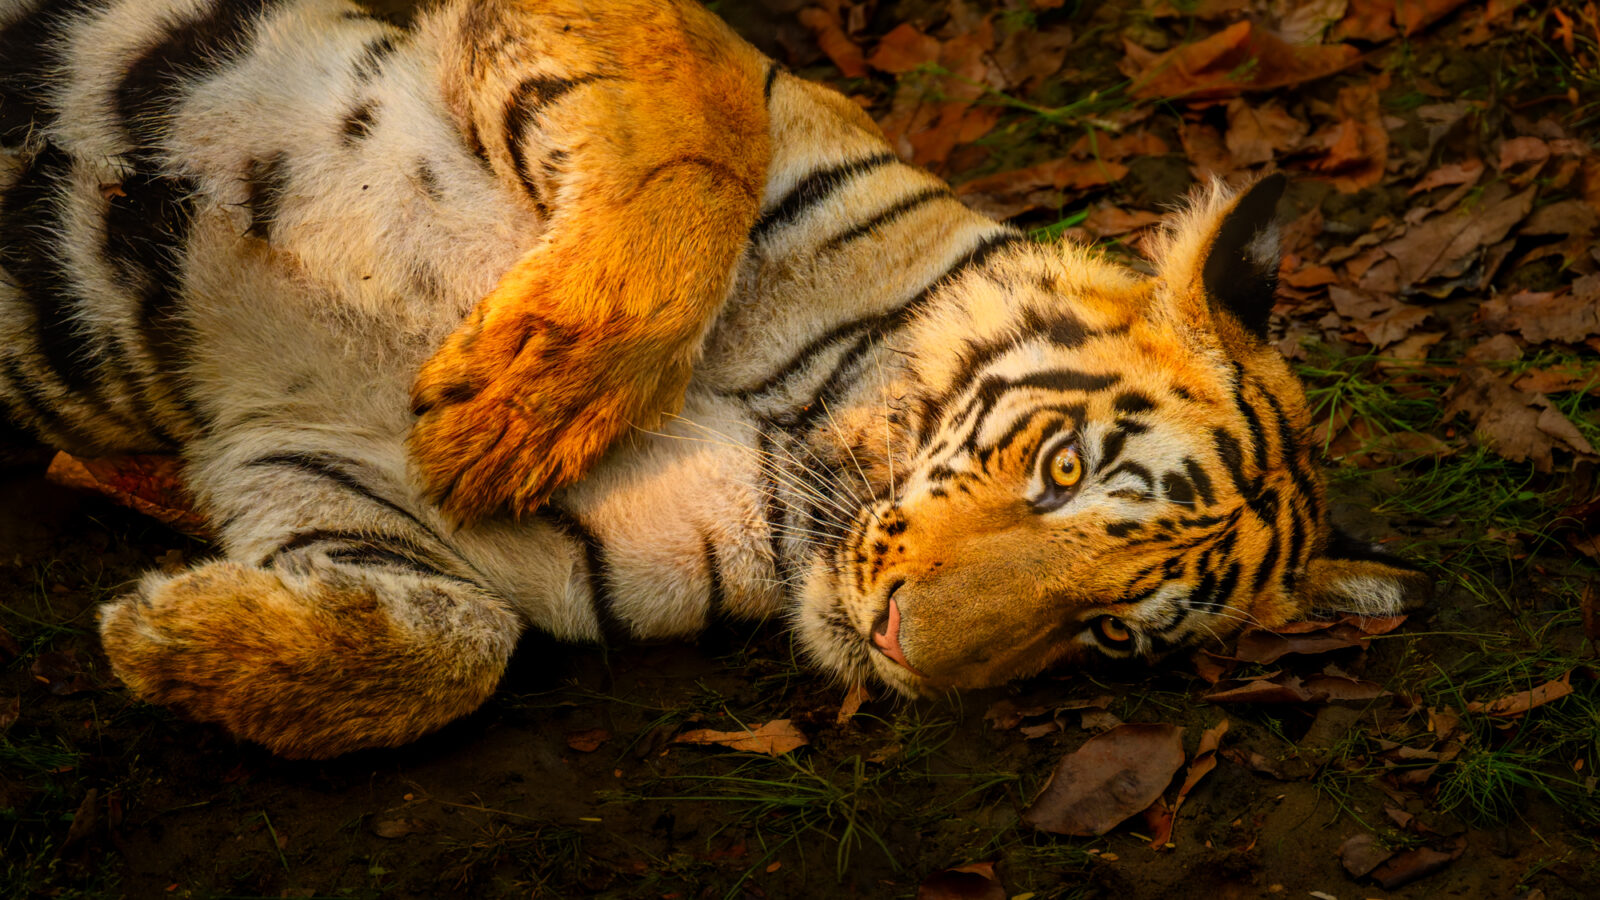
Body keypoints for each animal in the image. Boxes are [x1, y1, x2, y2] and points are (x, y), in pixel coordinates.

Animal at [0, 0, 1430, 758]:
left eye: (1110, 635)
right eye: (1061, 467)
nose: (905, 649)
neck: (812, 437)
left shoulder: (316, 460)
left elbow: (464, 644)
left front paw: (182, 643)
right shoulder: (685, 63)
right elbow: (704, 137)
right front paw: (523, 404)